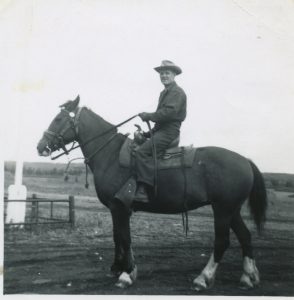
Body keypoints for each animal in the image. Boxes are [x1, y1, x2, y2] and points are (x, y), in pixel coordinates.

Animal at [36, 96, 266, 290]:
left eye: (58, 119)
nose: (40, 147)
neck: (111, 154)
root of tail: (245, 160)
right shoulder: (118, 209)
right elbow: (118, 237)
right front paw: (120, 268)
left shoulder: (119, 207)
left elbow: (124, 238)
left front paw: (126, 274)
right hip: (232, 210)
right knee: (245, 236)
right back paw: (248, 277)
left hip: (223, 210)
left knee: (222, 242)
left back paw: (203, 278)